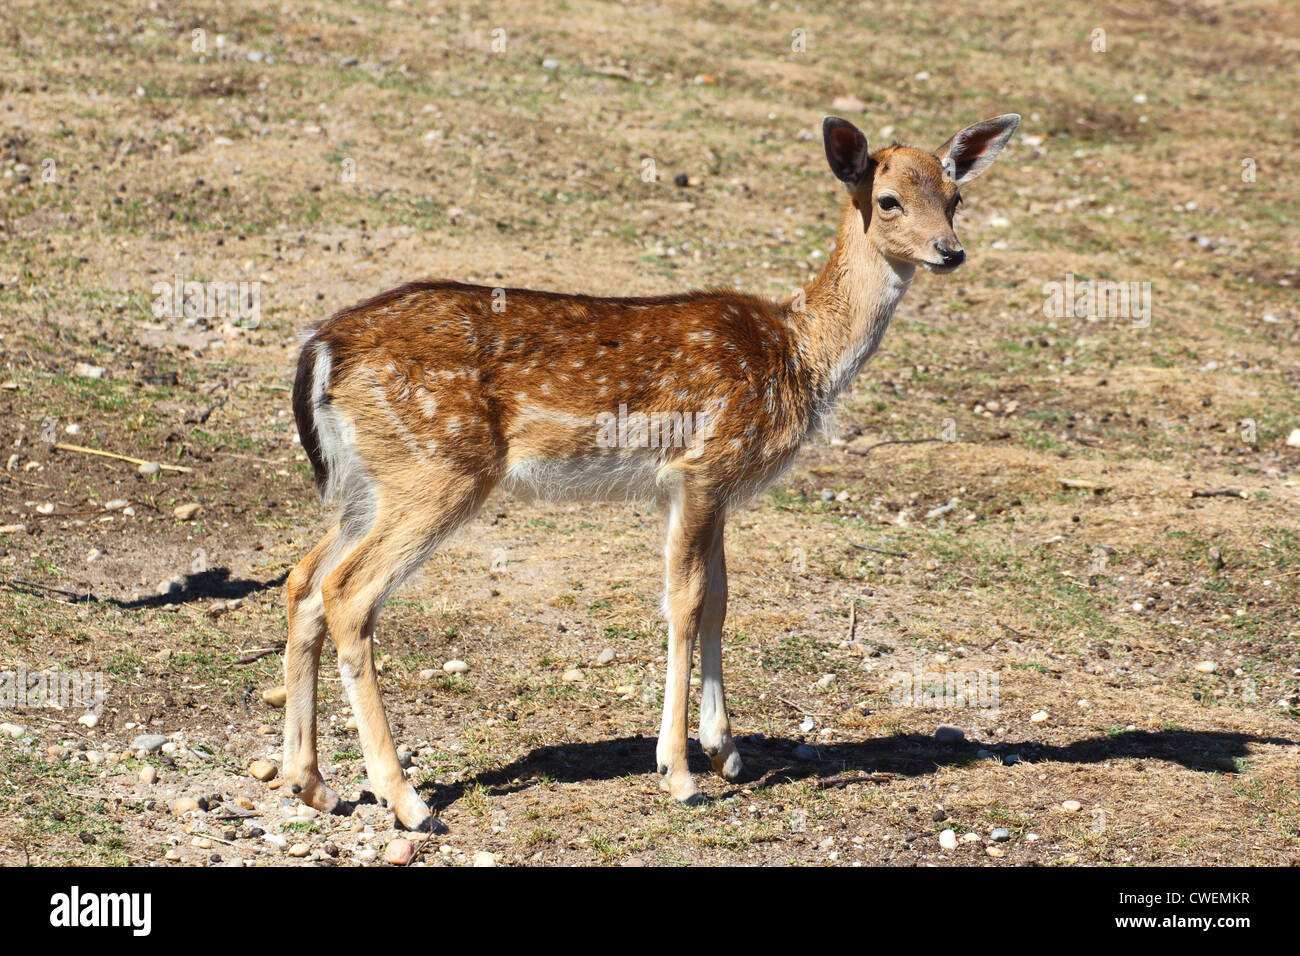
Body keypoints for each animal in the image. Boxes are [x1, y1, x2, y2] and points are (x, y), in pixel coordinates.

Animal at [283, 112, 1020, 832]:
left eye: (956, 197)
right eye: (889, 199)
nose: (950, 250)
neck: (801, 355)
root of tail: (323, 347)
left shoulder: (717, 488)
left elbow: (721, 599)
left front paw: (726, 751)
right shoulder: (702, 466)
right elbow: (685, 603)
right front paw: (679, 773)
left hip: (368, 482)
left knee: (303, 580)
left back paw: (309, 782)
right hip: (438, 467)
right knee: (348, 591)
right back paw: (406, 801)